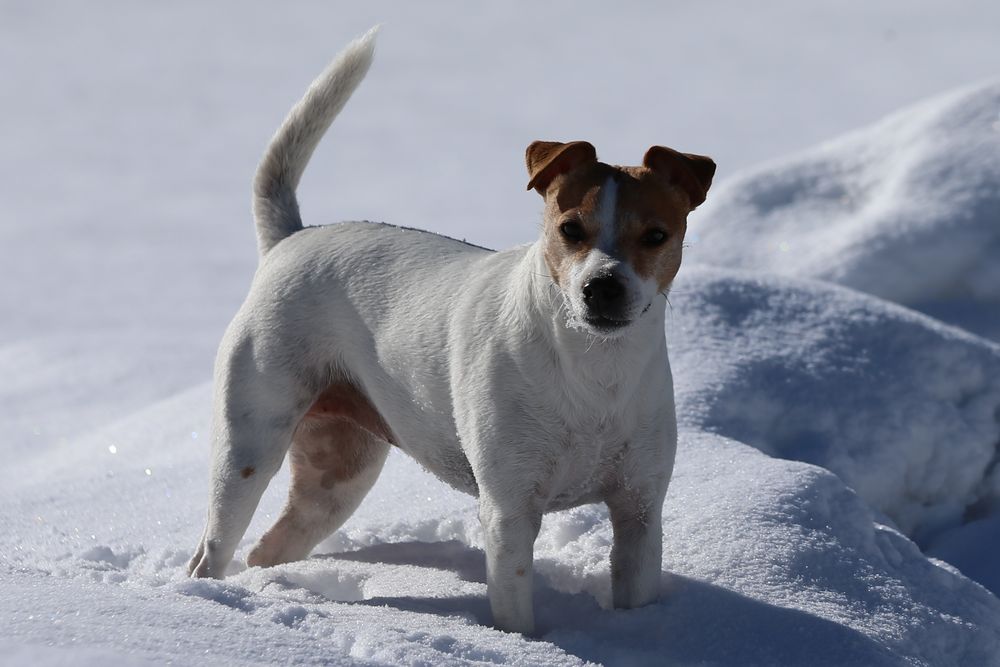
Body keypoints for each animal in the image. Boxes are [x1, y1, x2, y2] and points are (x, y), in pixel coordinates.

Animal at [188, 27, 716, 636]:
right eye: (570, 229)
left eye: (656, 235)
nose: (601, 287)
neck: (594, 372)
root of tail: (291, 238)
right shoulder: (509, 510)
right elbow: (515, 607)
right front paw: (527, 645)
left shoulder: (639, 509)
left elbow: (637, 579)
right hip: (248, 447)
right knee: (214, 547)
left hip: (339, 472)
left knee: (270, 547)